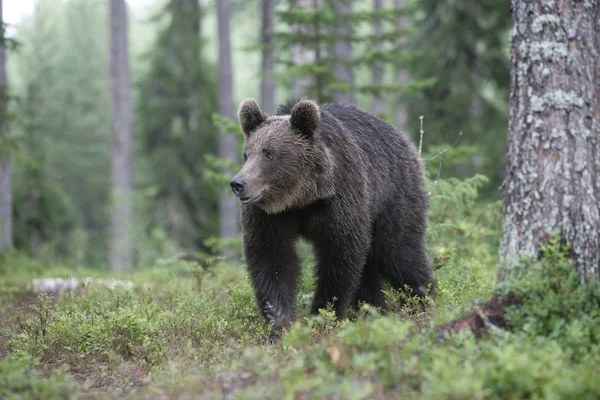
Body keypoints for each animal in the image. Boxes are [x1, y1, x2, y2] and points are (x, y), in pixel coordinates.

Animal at [231, 98, 436, 336]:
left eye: (269, 154)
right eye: (246, 154)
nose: (238, 183)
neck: (300, 200)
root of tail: (404, 139)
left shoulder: (339, 201)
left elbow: (339, 256)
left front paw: (321, 316)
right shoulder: (269, 217)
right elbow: (272, 260)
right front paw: (280, 325)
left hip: (392, 197)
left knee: (398, 252)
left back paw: (423, 301)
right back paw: (373, 310)